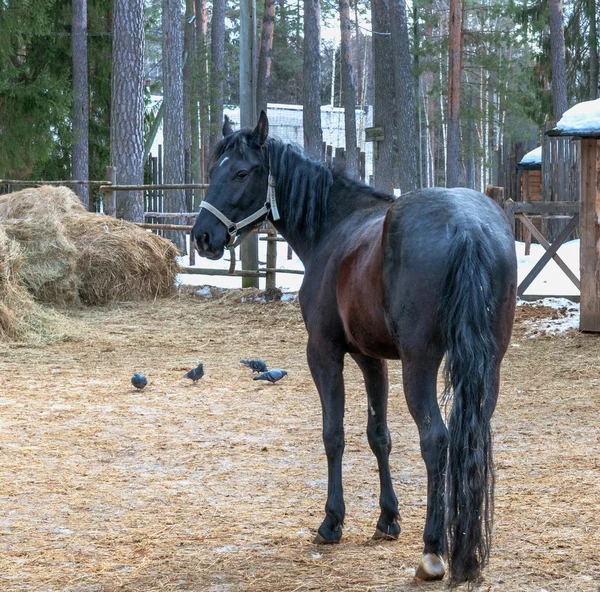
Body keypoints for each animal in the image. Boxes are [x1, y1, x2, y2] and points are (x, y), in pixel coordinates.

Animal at [191, 112, 516, 588]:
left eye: (242, 172)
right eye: (214, 168)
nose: (202, 236)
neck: (336, 227)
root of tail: (469, 226)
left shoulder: (325, 353)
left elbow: (334, 434)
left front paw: (332, 521)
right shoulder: (371, 358)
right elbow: (379, 435)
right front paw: (388, 518)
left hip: (420, 364)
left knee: (436, 441)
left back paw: (434, 550)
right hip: (488, 366)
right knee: (470, 438)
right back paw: (468, 553)